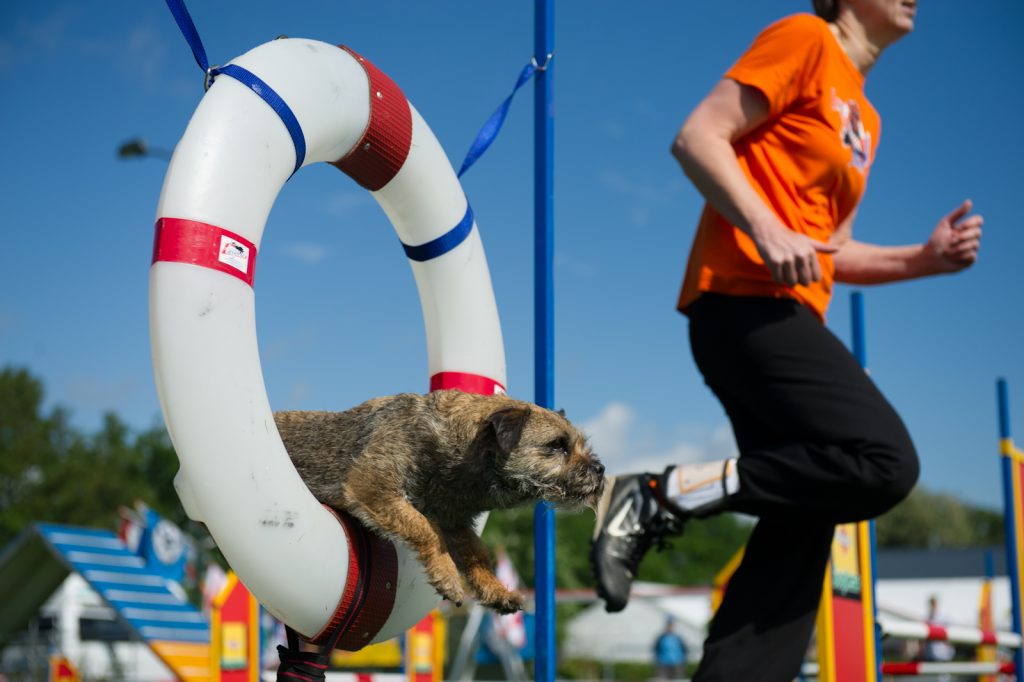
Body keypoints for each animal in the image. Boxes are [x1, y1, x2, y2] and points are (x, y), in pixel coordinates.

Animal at [276, 387, 602, 610]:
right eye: (557, 445)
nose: (600, 470)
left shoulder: (456, 522)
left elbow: (477, 556)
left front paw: (496, 590)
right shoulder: (374, 486)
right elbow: (426, 529)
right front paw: (447, 576)